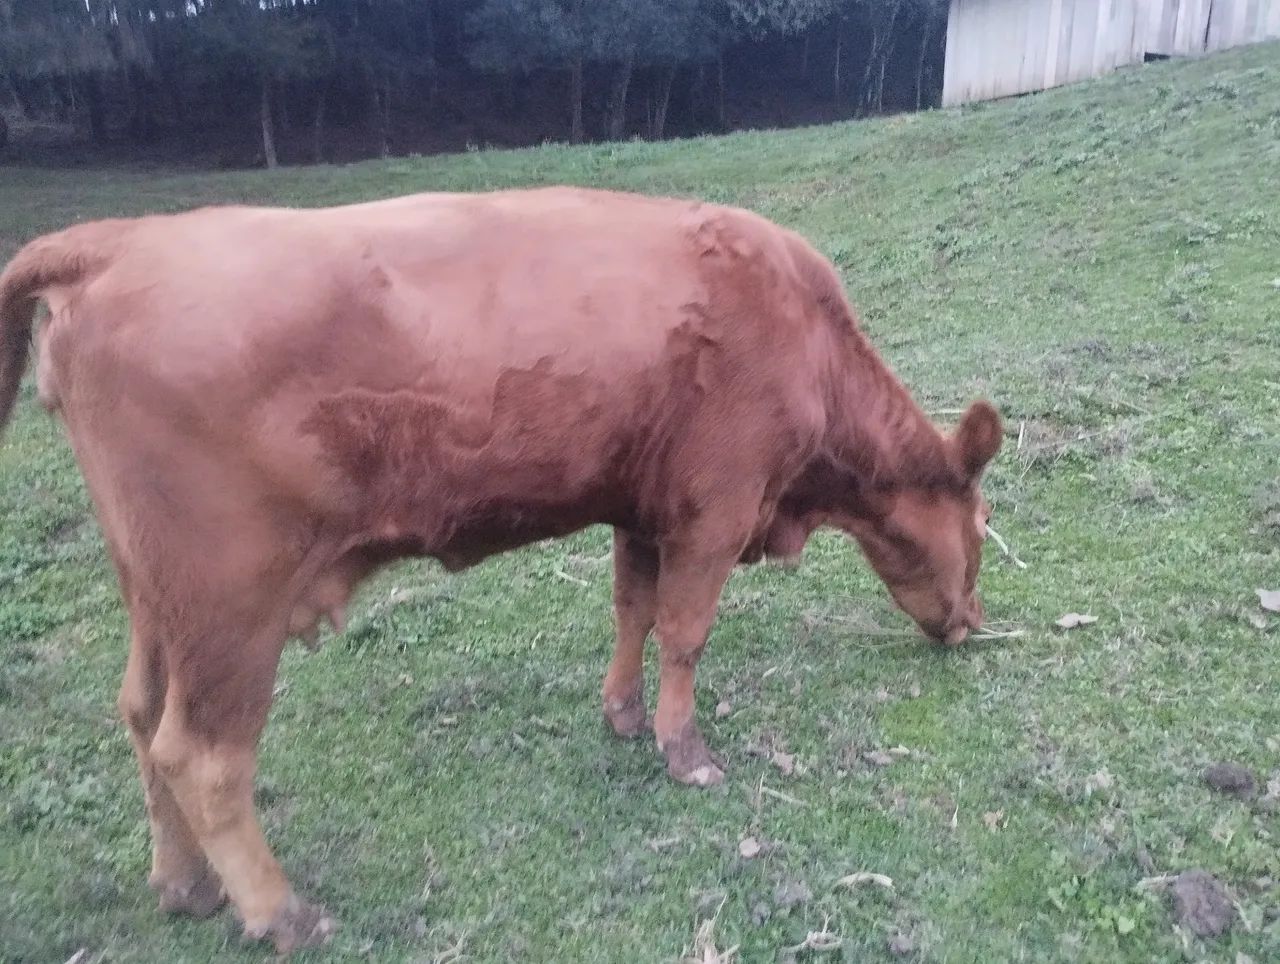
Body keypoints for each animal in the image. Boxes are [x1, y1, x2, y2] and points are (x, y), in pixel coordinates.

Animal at [0, 186, 1002, 952]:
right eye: (985, 523)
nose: (971, 623)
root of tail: (121, 239)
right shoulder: (715, 508)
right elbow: (684, 632)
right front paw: (685, 752)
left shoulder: (642, 509)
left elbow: (633, 612)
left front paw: (622, 715)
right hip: (228, 603)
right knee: (201, 756)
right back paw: (281, 912)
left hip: (154, 591)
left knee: (140, 717)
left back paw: (184, 884)